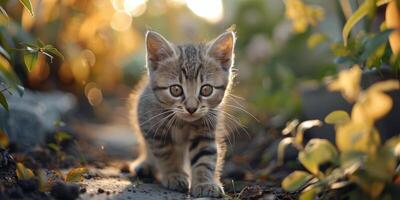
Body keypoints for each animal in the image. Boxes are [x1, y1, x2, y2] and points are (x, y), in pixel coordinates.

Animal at [128, 30, 236, 198]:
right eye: (176, 89)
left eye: (206, 89)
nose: (191, 108)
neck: (182, 122)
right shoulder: (152, 128)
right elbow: (166, 154)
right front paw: (174, 175)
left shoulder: (205, 131)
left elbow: (204, 157)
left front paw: (204, 183)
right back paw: (145, 164)